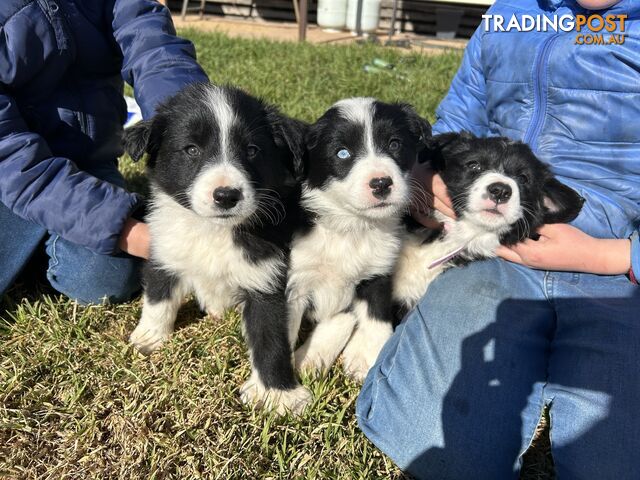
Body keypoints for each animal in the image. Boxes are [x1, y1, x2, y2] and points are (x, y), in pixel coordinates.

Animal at [122, 84, 312, 414]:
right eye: (191, 149)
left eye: (252, 150)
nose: (226, 195)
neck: (213, 230)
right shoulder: (165, 252)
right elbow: (158, 299)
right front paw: (149, 336)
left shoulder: (267, 280)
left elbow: (271, 341)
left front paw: (280, 394)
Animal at [288, 98, 432, 382]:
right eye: (342, 153)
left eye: (394, 144)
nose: (381, 183)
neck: (352, 226)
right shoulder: (295, 278)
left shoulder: (378, 271)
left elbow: (376, 315)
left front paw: (367, 357)